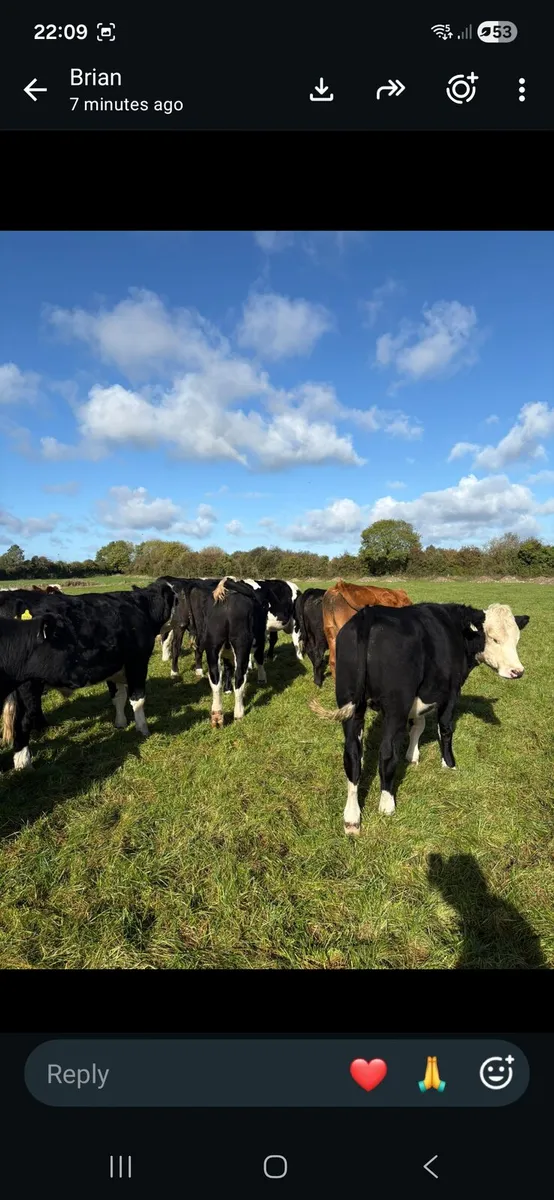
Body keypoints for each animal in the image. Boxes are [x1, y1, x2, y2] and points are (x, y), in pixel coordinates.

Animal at [0, 580, 180, 768]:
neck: (139, 608)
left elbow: (118, 697)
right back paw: (24, 764)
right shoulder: (137, 663)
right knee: (22, 722)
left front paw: (121, 723)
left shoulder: (115, 667)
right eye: (176, 599)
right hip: (28, 686)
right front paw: (143, 729)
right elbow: (138, 699)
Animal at [310, 602, 530, 835]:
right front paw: (449, 764)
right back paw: (387, 804)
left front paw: (412, 755)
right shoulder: (451, 693)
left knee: (352, 755)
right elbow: (445, 728)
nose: (518, 671)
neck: (455, 629)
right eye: (494, 638)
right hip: (395, 707)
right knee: (386, 753)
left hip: (352, 705)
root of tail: (369, 613)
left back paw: (352, 818)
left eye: (516, 639)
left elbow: (418, 725)